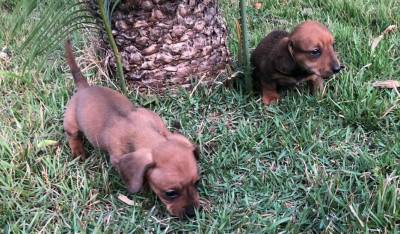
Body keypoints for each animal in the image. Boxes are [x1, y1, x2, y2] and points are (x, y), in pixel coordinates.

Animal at [64, 40, 202, 218]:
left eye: (197, 182)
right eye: (170, 193)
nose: (193, 213)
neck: (138, 130)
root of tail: (84, 87)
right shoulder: (117, 159)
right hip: (71, 124)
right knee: (72, 136)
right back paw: (78, 151)